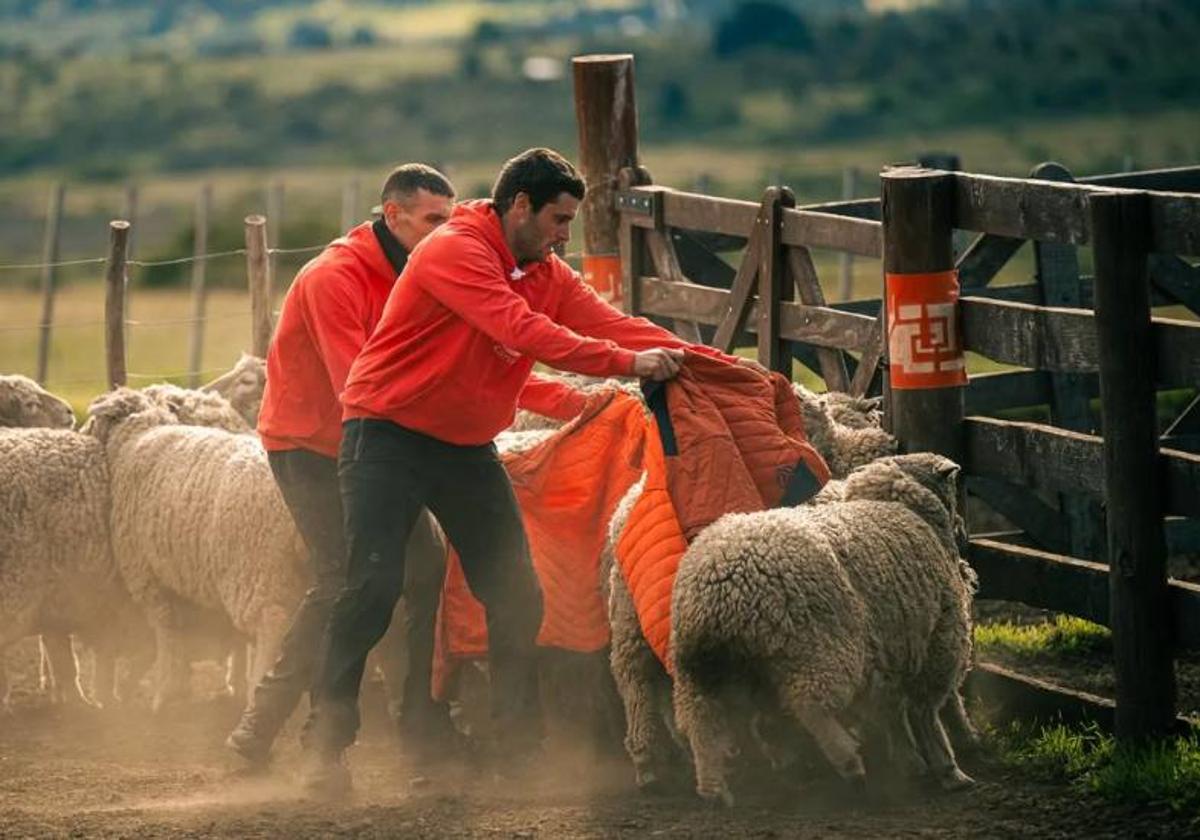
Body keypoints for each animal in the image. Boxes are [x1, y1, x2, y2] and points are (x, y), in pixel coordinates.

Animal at [82, 386, 309, 710]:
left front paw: (165, 692)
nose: (77, 432)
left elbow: (167, 631)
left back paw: (259, 689)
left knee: (273, 623)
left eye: (93, 421)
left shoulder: (148, 577)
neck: (135, 439)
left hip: (260, 570)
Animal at [672, 456, 979, 801]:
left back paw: (715, 788)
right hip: (819, 648)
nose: (964, 532)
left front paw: (911, 763)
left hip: (701, 671)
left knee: (701, 722)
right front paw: (948, 770)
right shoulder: (939, 640)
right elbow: (924, 712)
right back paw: (849, 763)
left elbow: (891, 710)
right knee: (810, 706)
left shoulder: (890, 648)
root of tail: (719, 588)